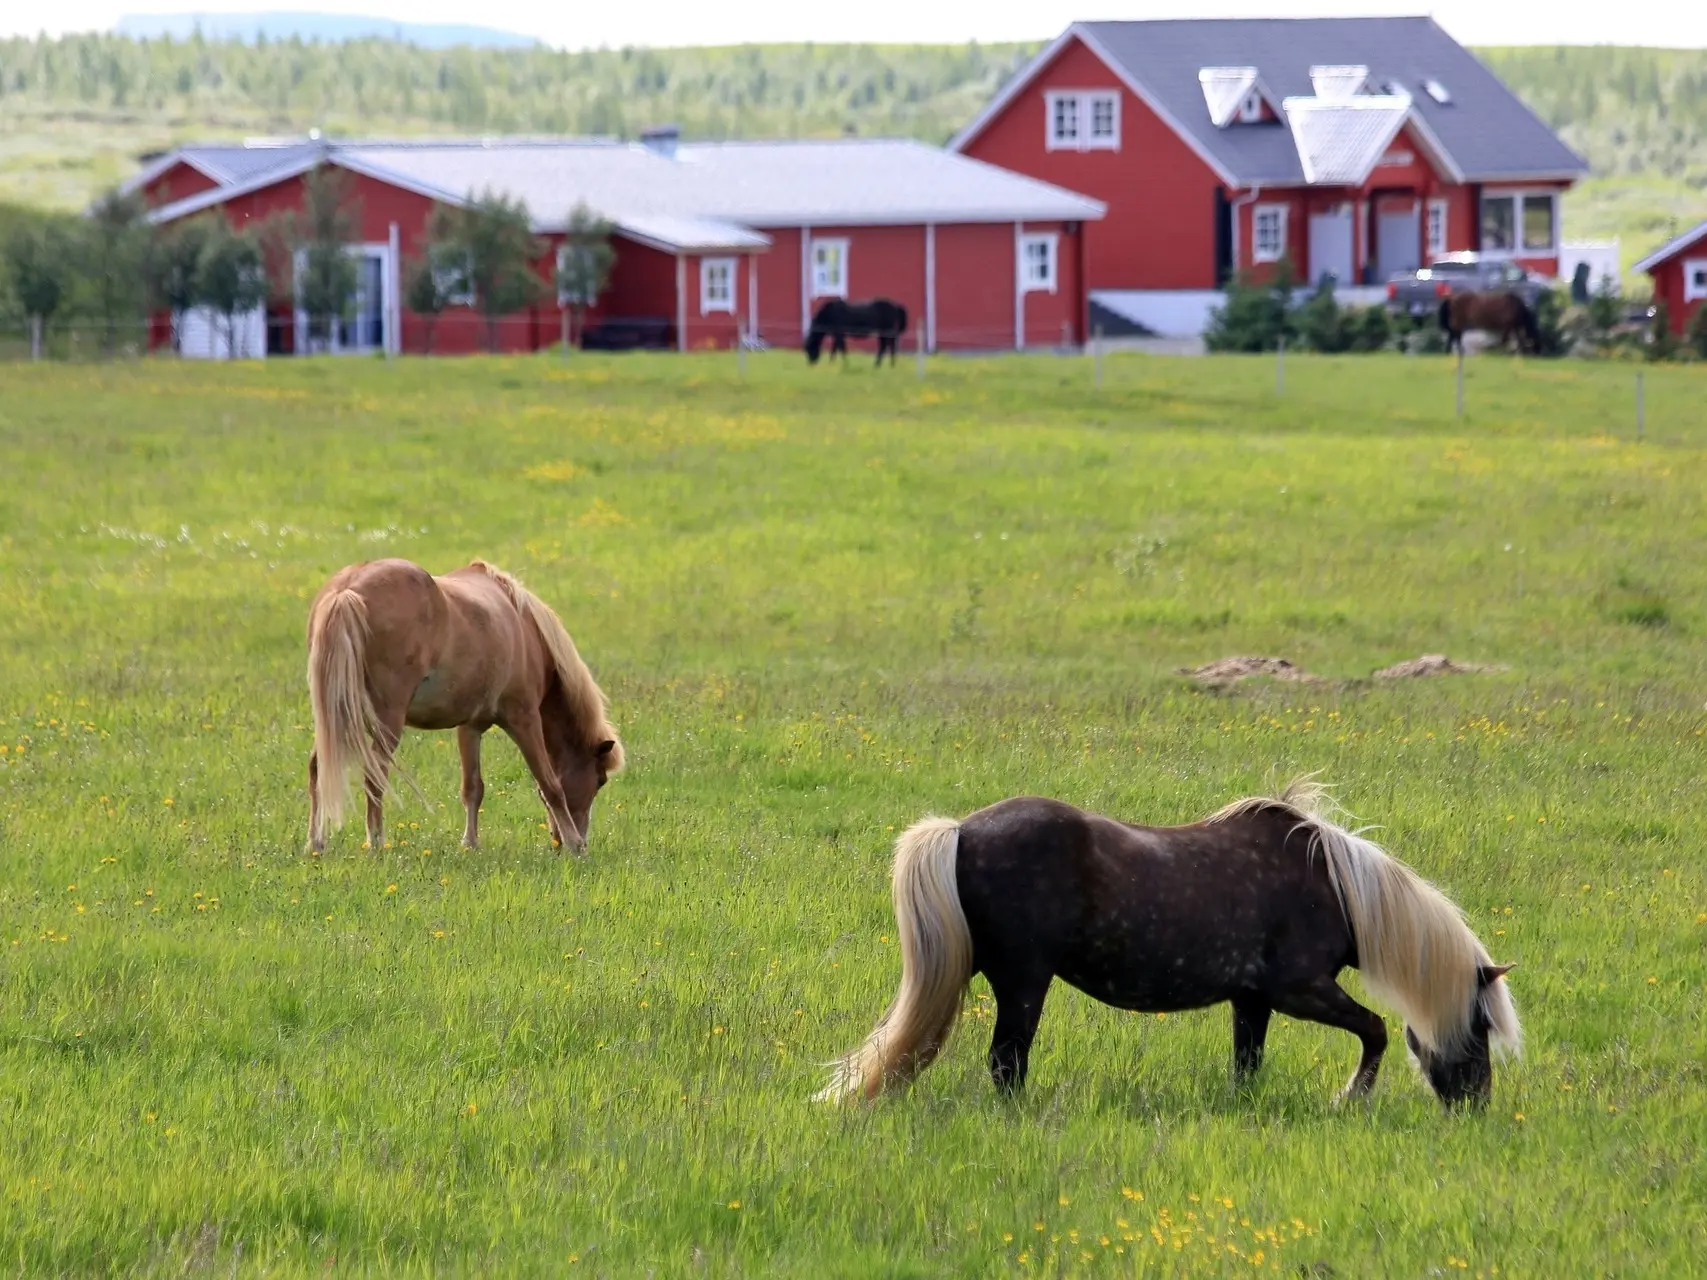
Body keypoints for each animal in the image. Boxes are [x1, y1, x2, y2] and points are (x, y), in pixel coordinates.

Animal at [308, 559, 628, 853]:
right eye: (600, 780)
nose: (568, 841)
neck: (525, 628)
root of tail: (346, 590)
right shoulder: (524, 719)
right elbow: (551, 785)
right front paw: (575, 846)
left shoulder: (470, 726)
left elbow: (473, 787)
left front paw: (471, 844)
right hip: (387, 722)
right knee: (374, 776)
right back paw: (375, 844)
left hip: (336, 718)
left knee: (317, 767)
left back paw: (316, 843)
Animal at [822, 781, 1522, 1112]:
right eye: (1483, 1026)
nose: (1476, 1108)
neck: (1334, 887)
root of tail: (961, 831)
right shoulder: (1300, 990)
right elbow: (1374, 1031)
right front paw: (1350, 1098)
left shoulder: (1253, 1000)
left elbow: (1247, 1065)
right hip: (1024, 983)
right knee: (1006, 1064)